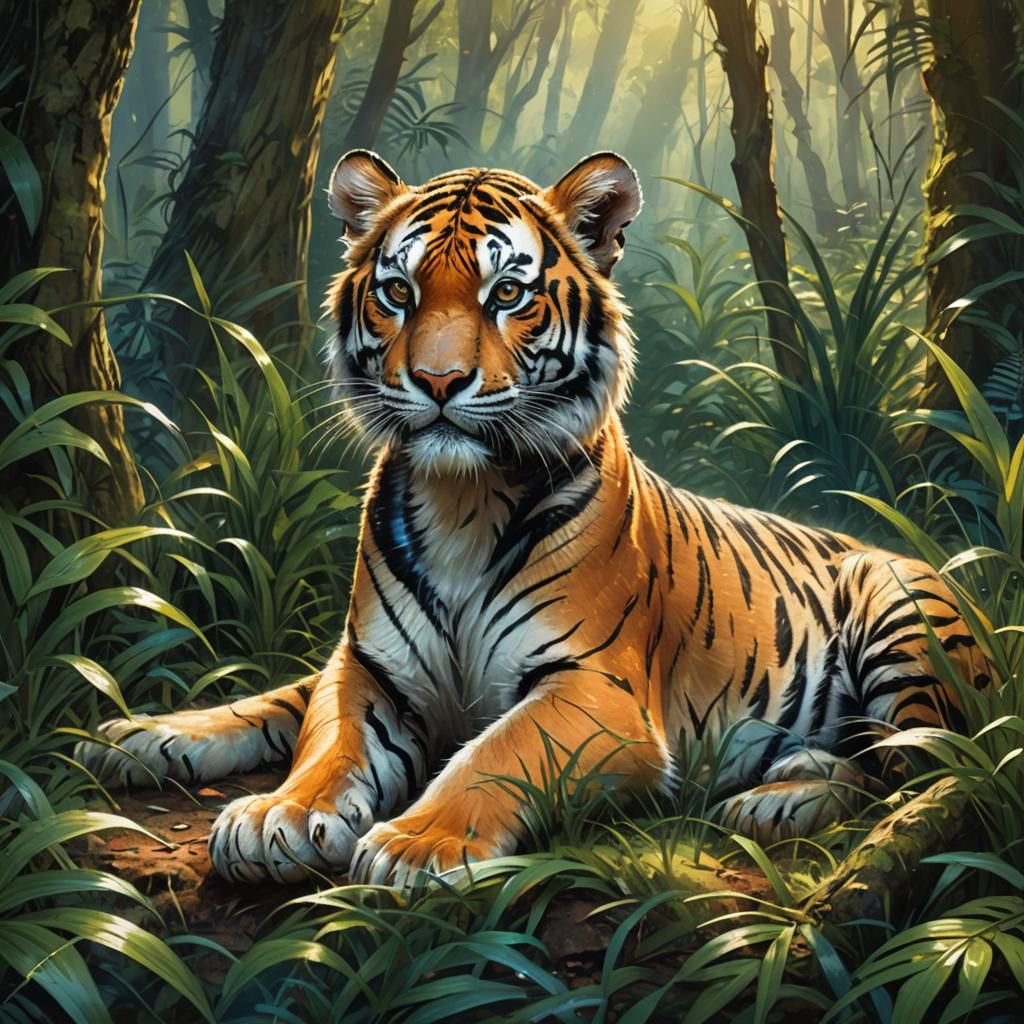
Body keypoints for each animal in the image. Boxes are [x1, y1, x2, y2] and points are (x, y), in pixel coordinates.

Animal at [77, 150, 991, 889]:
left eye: (507, 293)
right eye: (399, 293)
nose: (438, 382)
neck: (459, 499)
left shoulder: (594, 688)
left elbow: (495, 752)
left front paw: (415, 844)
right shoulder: (368, 666)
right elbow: (322, 736)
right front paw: (281, 814)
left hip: (898, 611)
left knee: (914, 761)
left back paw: (783, 795)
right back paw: (133, 736)